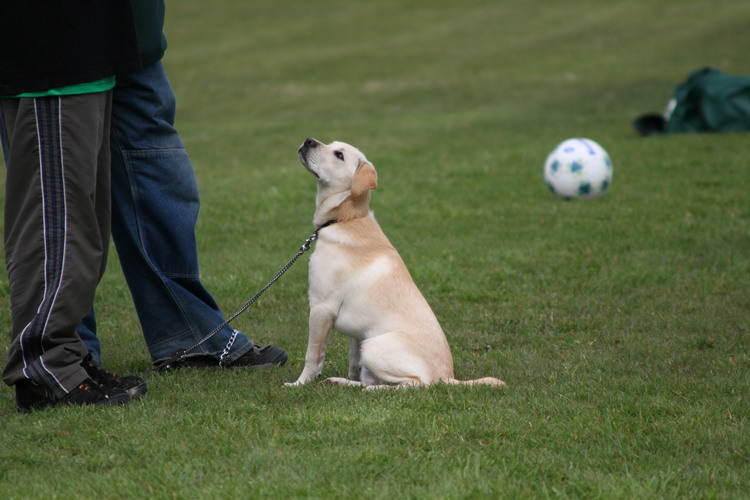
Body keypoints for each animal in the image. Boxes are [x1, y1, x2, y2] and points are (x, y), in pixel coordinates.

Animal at [286, 139, 506, 388]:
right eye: (331, 144)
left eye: (339, 155)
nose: (308, 141)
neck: (347, 218)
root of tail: (447, 377)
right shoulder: (356, 333)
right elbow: (353, 362)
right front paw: (346, 378)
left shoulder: (321, 308)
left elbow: (313, 356)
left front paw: (299, 384)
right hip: (367, 345)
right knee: (370, 379)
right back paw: (342, 382)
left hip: (373, 346)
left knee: (413, 384)